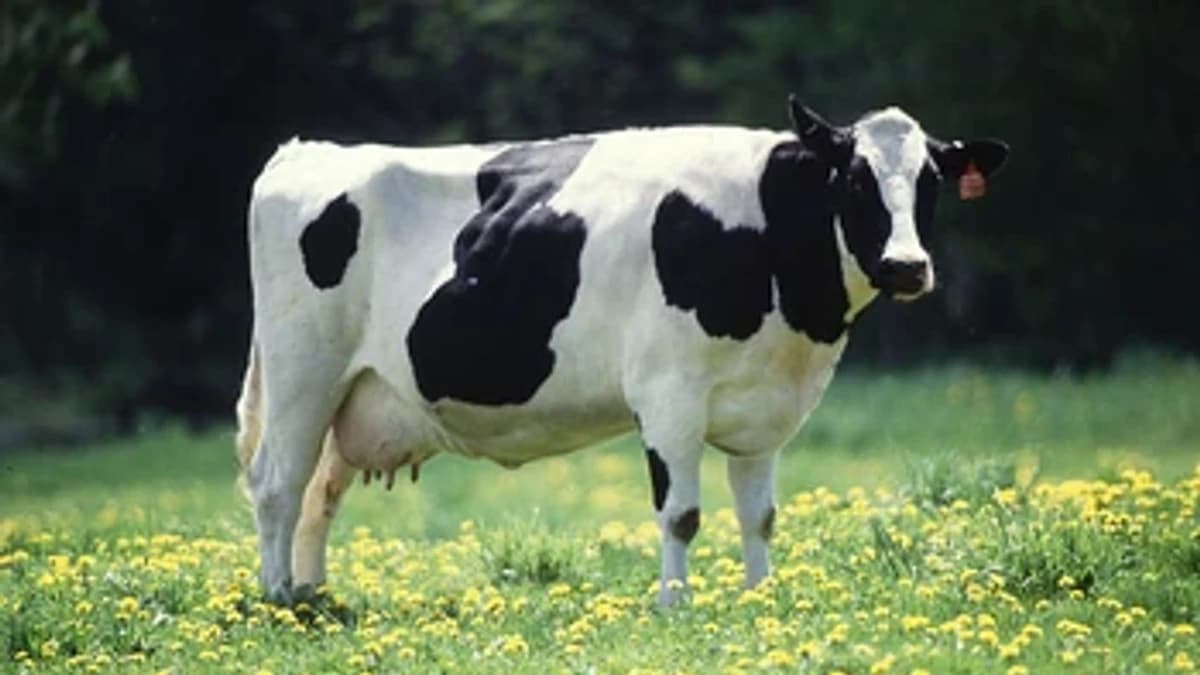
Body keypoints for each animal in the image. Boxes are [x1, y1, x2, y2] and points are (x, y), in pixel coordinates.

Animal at [235, 95, 1008, 605]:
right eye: (854, 178)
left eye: (931, 182)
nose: (907, 266)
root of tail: (306, 150)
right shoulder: (668, 394)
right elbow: (682, 513)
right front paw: (675, 606)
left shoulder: (765, 409)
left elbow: (759, 514)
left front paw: (761, 600)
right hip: (304, 372)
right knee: (277, 483)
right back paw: (278, 599)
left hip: (355, 393)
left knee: (320, 492)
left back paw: (314, 596)